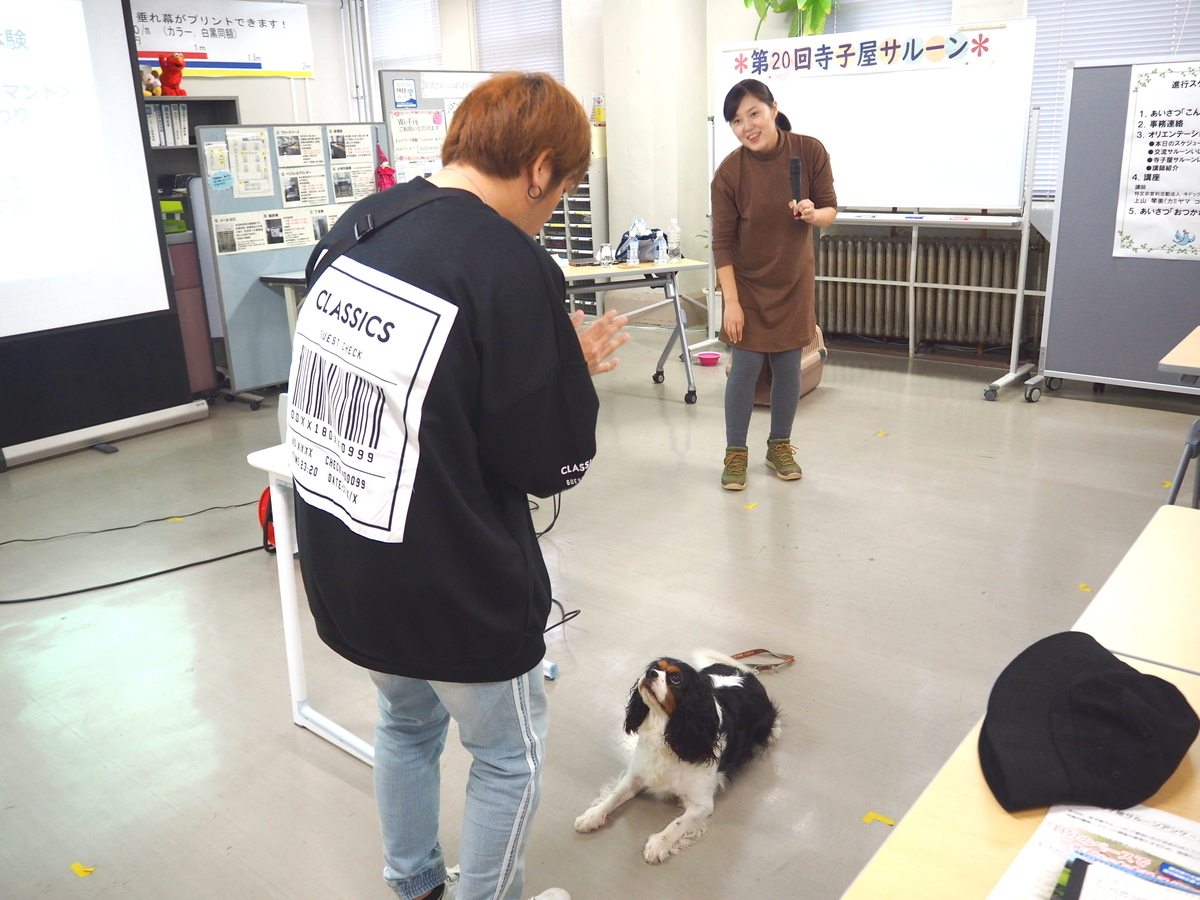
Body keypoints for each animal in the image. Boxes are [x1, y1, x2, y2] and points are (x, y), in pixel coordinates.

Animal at [574, 649, 780, 863]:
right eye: (654, 667)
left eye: (675, 678)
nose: (650, 673)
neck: (665, 732)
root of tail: (746, 674)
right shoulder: (636, 775)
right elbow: (614, 796)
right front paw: (592, 816)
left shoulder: (702, 804)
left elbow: (678, 823)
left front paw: (658, 844)